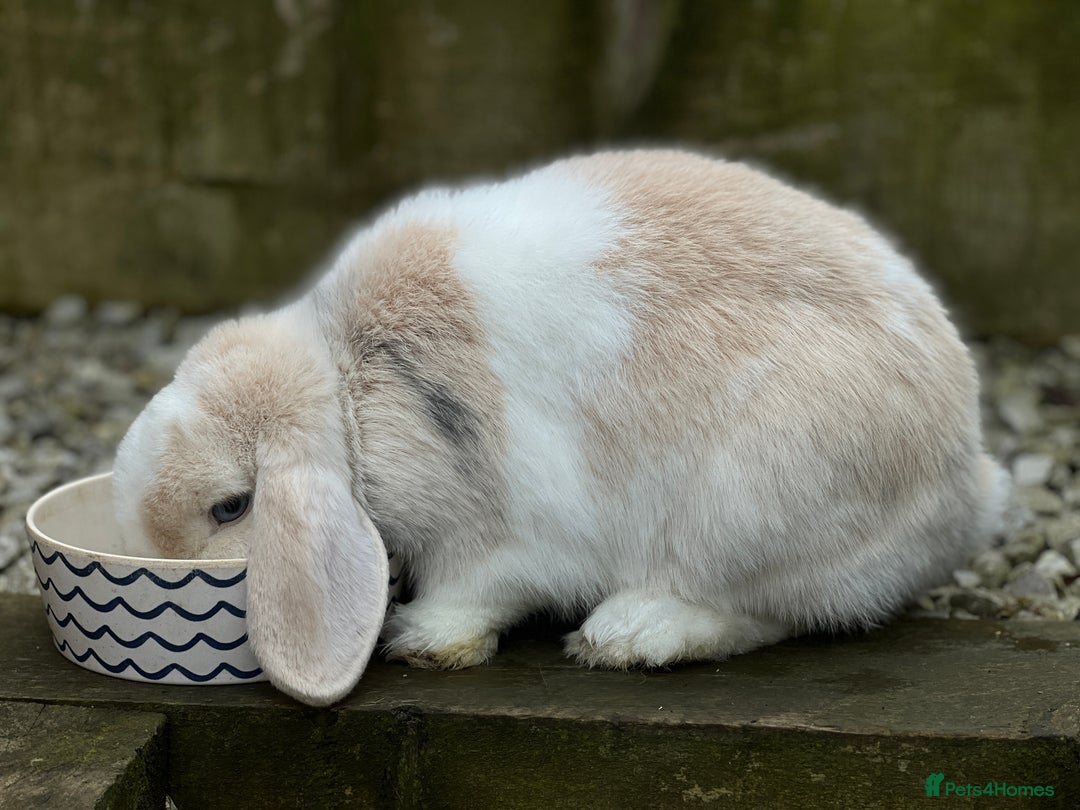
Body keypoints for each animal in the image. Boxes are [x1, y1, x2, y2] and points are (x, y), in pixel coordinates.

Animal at [112, 149, 1010, 707]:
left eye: (231, 507)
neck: (349, 393)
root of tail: (968, 484)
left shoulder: (502, 538)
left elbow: (479, 590)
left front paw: (420, 638)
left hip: (752, 507)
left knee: (767, 612)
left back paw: (630, 635)